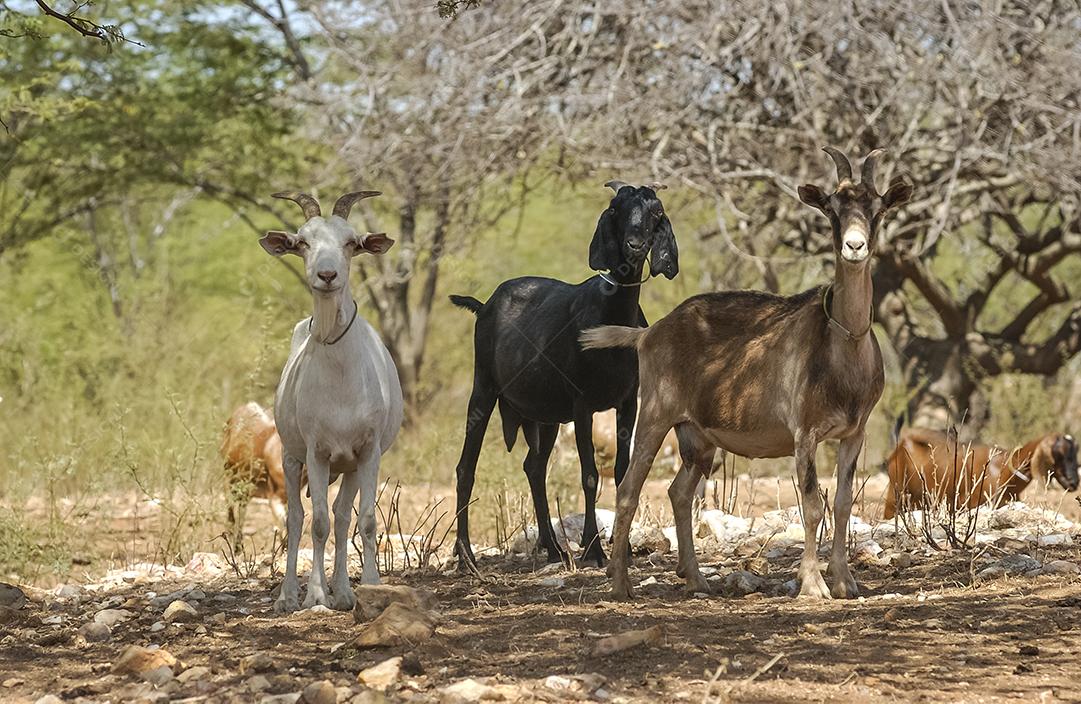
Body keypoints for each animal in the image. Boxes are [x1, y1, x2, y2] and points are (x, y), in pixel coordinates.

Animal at [259, 190, 403, 613]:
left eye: (351, 242)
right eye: (303, 241)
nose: (327, 276)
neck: (341, 378)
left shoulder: (368, 450)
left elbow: (364, 520)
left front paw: (368, 586)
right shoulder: (317, 451)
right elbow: (317, 523)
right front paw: (315, 595)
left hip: (350, 467)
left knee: (342, 516)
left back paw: (345, 591)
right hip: (291, 457)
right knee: (296, 518)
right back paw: (289, 596)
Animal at [449, 181, 679, 569]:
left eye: (656, 212)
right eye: (616, 209)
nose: (635, 245)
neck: (610, 316)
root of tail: (485, 305)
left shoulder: (627, 402)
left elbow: (621, 471)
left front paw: (624, 550)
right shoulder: (582, 404)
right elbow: (589, 475)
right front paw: (594, 550)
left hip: (547, 416)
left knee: (533, 466)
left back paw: (553, 547)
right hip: (484, 388)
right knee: (466, 468)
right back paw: (465, 555)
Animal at [581, 147, 912, 599]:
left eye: (877, 209)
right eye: (831, 209)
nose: (854, 246)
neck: (841, 346)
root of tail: (651, 332)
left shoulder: (853, 433)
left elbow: (844, 503)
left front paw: (846, 581)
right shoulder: (804, 433)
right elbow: (813, 505)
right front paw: (813, 584)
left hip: (698, 436)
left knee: (679, 492)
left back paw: (697, 578)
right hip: (654, 413)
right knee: (630, 489)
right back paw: (620, 584)